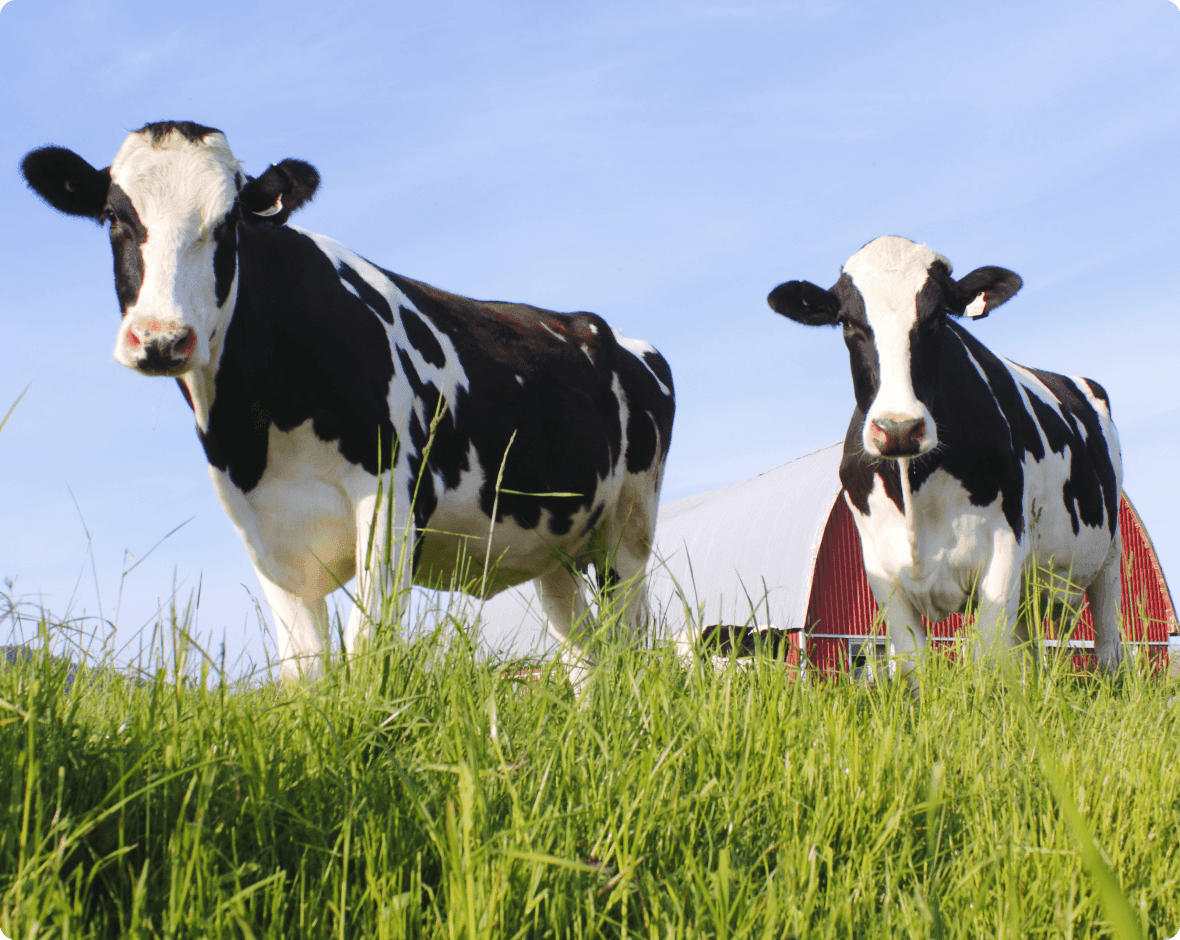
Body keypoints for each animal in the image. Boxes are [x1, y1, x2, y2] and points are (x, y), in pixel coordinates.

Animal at [20, 122, 674, 684]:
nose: (160, 338)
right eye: (113, 216)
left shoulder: (391, 508)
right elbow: (305, 674)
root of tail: (602, 329)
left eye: (230, 223)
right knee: (586, 657)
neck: (259, 433)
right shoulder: (265, 538)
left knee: (632, 647)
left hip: (627, 533)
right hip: (552, 549)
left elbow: (366, 660)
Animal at [764, 237, 1123, 684]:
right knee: (1027, 651)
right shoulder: (881, 569)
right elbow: (914, 665)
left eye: (938, 319)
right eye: (847, 322)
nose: (899, 428)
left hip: (1110, 555)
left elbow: (985, 662)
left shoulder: (1004, 548)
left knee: (1109, 642)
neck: (915, 492)